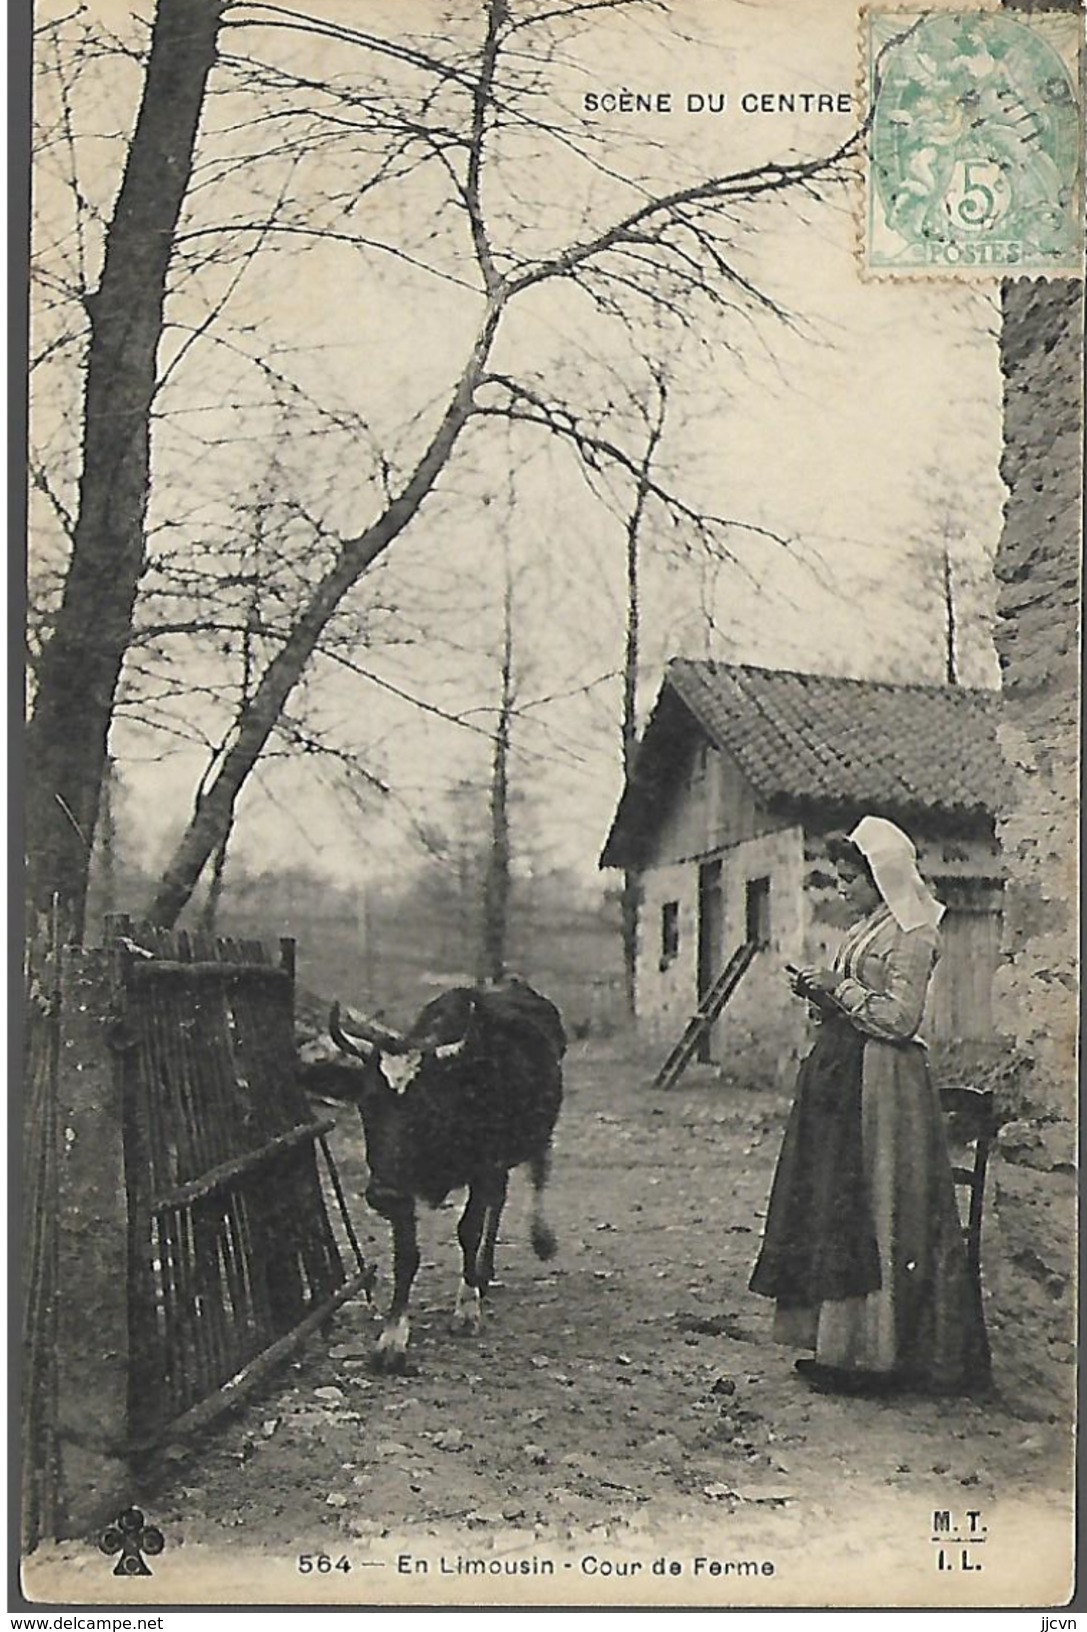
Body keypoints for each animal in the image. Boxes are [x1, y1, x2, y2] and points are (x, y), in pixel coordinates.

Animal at [300, 972, 561, 1370]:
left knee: (537, 1176)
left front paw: (467, 1310)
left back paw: (539, 1239)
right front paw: (393, 1336)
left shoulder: (483, 1167)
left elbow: (468, 1230)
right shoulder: (400, 1183)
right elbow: (406, 1255)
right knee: (500, 1200)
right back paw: (485, 1272)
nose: (381, 1195)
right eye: (366, 1104)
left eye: (424, 1106)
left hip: (537, 1134)